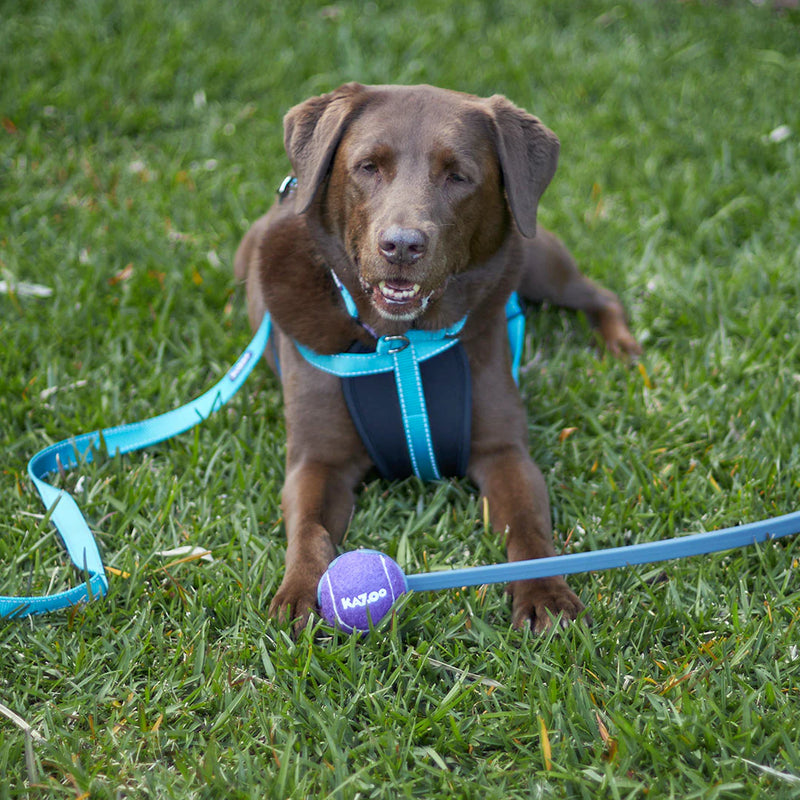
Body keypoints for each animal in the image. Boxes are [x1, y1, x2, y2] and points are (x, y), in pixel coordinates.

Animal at [234, 84, 640, 636]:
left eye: (458, 176)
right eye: (367, 167)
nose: (402, 245)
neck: (400, 346)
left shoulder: (504, 451)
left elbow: (529, 529)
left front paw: (546, 596)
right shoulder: (316, 460)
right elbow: (309, 529)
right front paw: (299, 594)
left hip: (540, 262)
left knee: (599, 295)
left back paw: (622, 349)